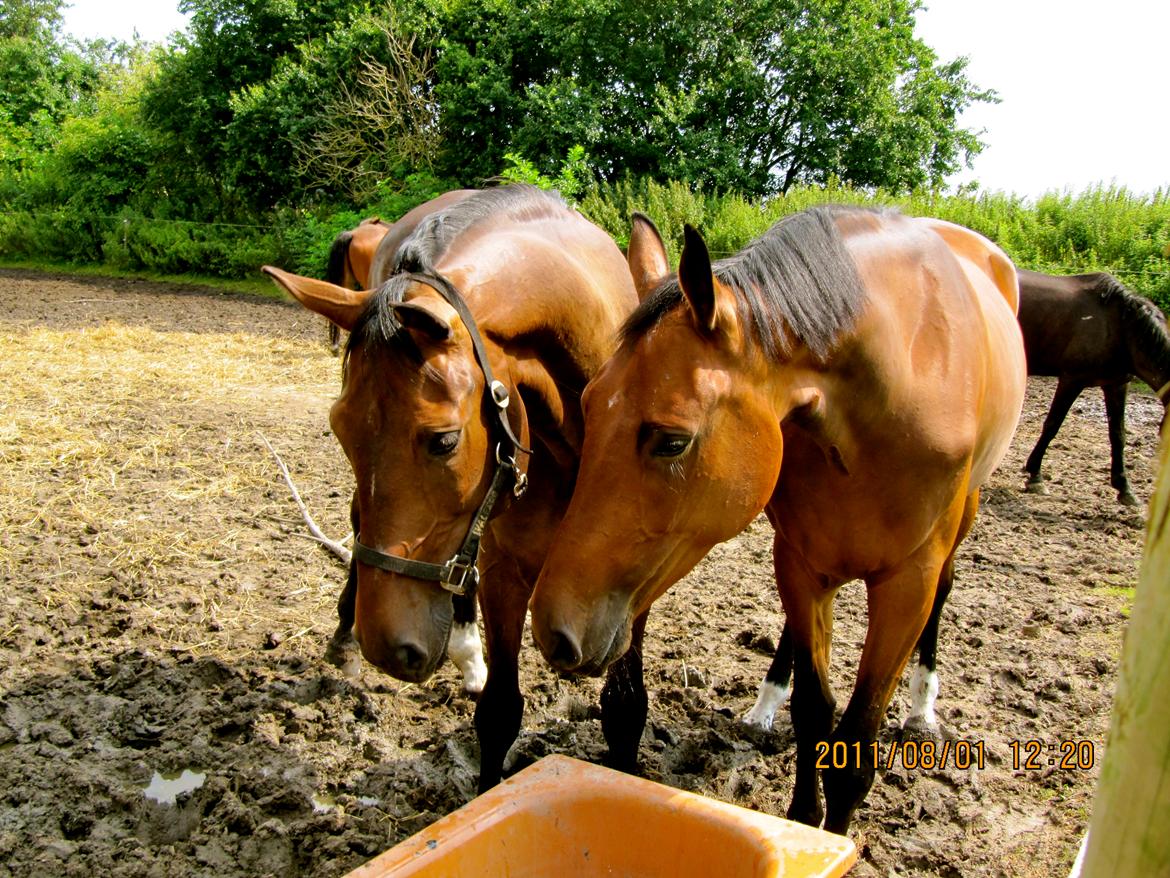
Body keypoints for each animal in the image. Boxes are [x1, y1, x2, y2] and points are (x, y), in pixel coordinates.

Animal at [263, 186, 641, 791]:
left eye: (443, 440)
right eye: (338, 429)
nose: (387, 648)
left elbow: (625, 709)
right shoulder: (506, 563)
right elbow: (500, 714)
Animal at [531, 208, 1024, 838]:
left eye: (672, 441)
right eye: (588, 405)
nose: (553, 629)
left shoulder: (907, 583)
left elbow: (854, 749)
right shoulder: (800, 560)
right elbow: (815, 713)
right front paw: (801, 822)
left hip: (964, 517)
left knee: (948, 587)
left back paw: (922, 705)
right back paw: (766, 703)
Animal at [1015, 268, 1170, 505]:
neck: (1121, 326)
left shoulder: (1117, 384)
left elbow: (1118, 434)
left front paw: (1125, 488)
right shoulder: (1071, 379)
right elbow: (1052, 425)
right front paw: (1035, 476)